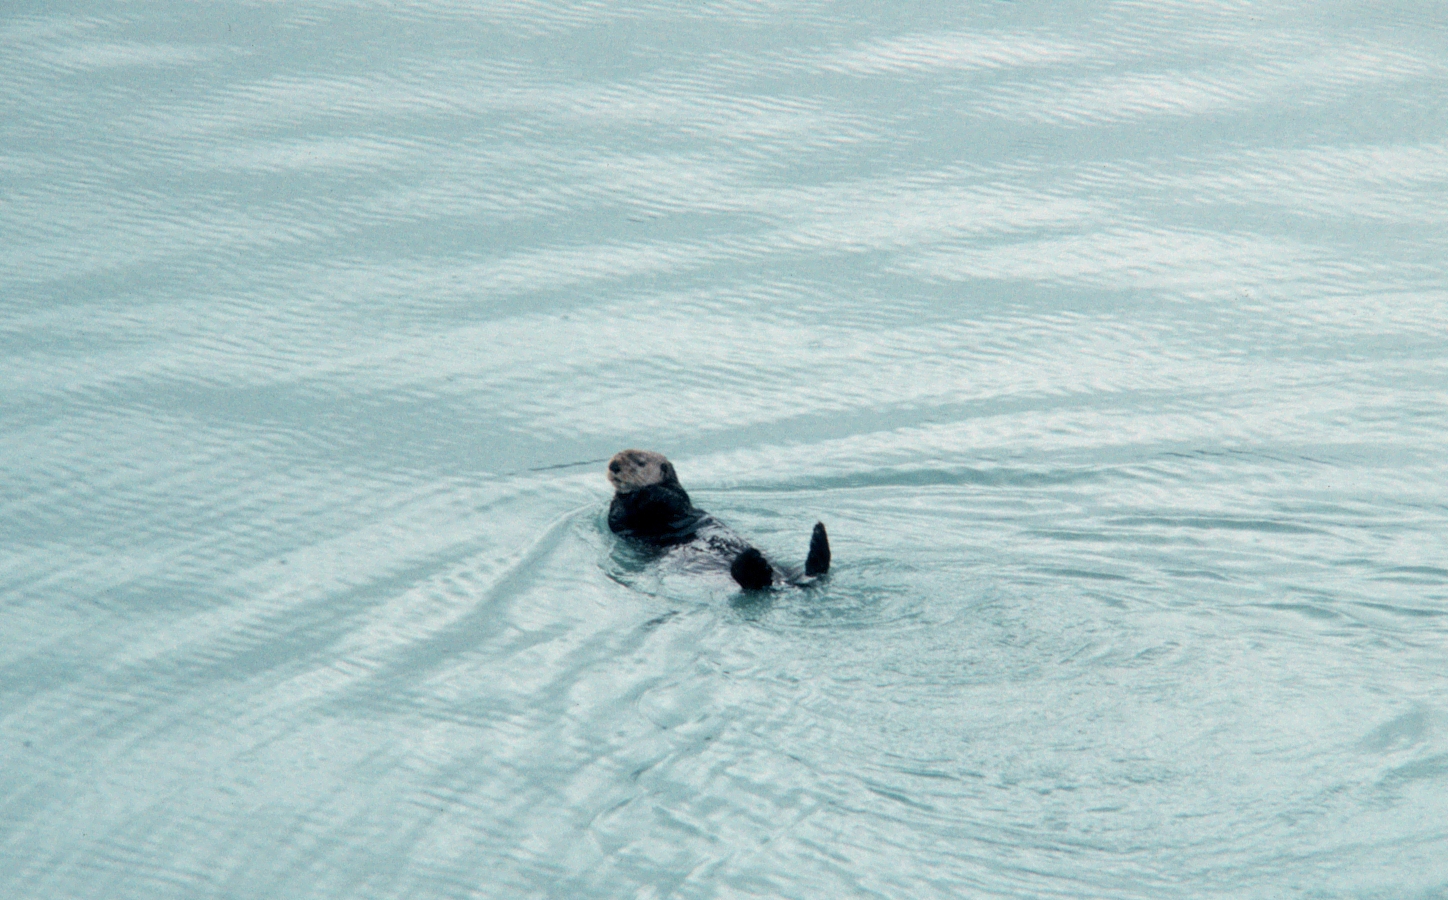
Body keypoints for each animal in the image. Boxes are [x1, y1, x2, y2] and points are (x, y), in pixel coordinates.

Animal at [606, 449, 830, 590]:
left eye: (640, 463)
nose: (614, 465)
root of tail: (784, 582)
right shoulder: (619, 517)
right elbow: (618, 518)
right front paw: (639, 495)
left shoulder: (679, 501)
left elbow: (674, 499)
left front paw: (650, 492)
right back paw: (753, 561)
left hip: (784, 567)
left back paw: (817, 534)